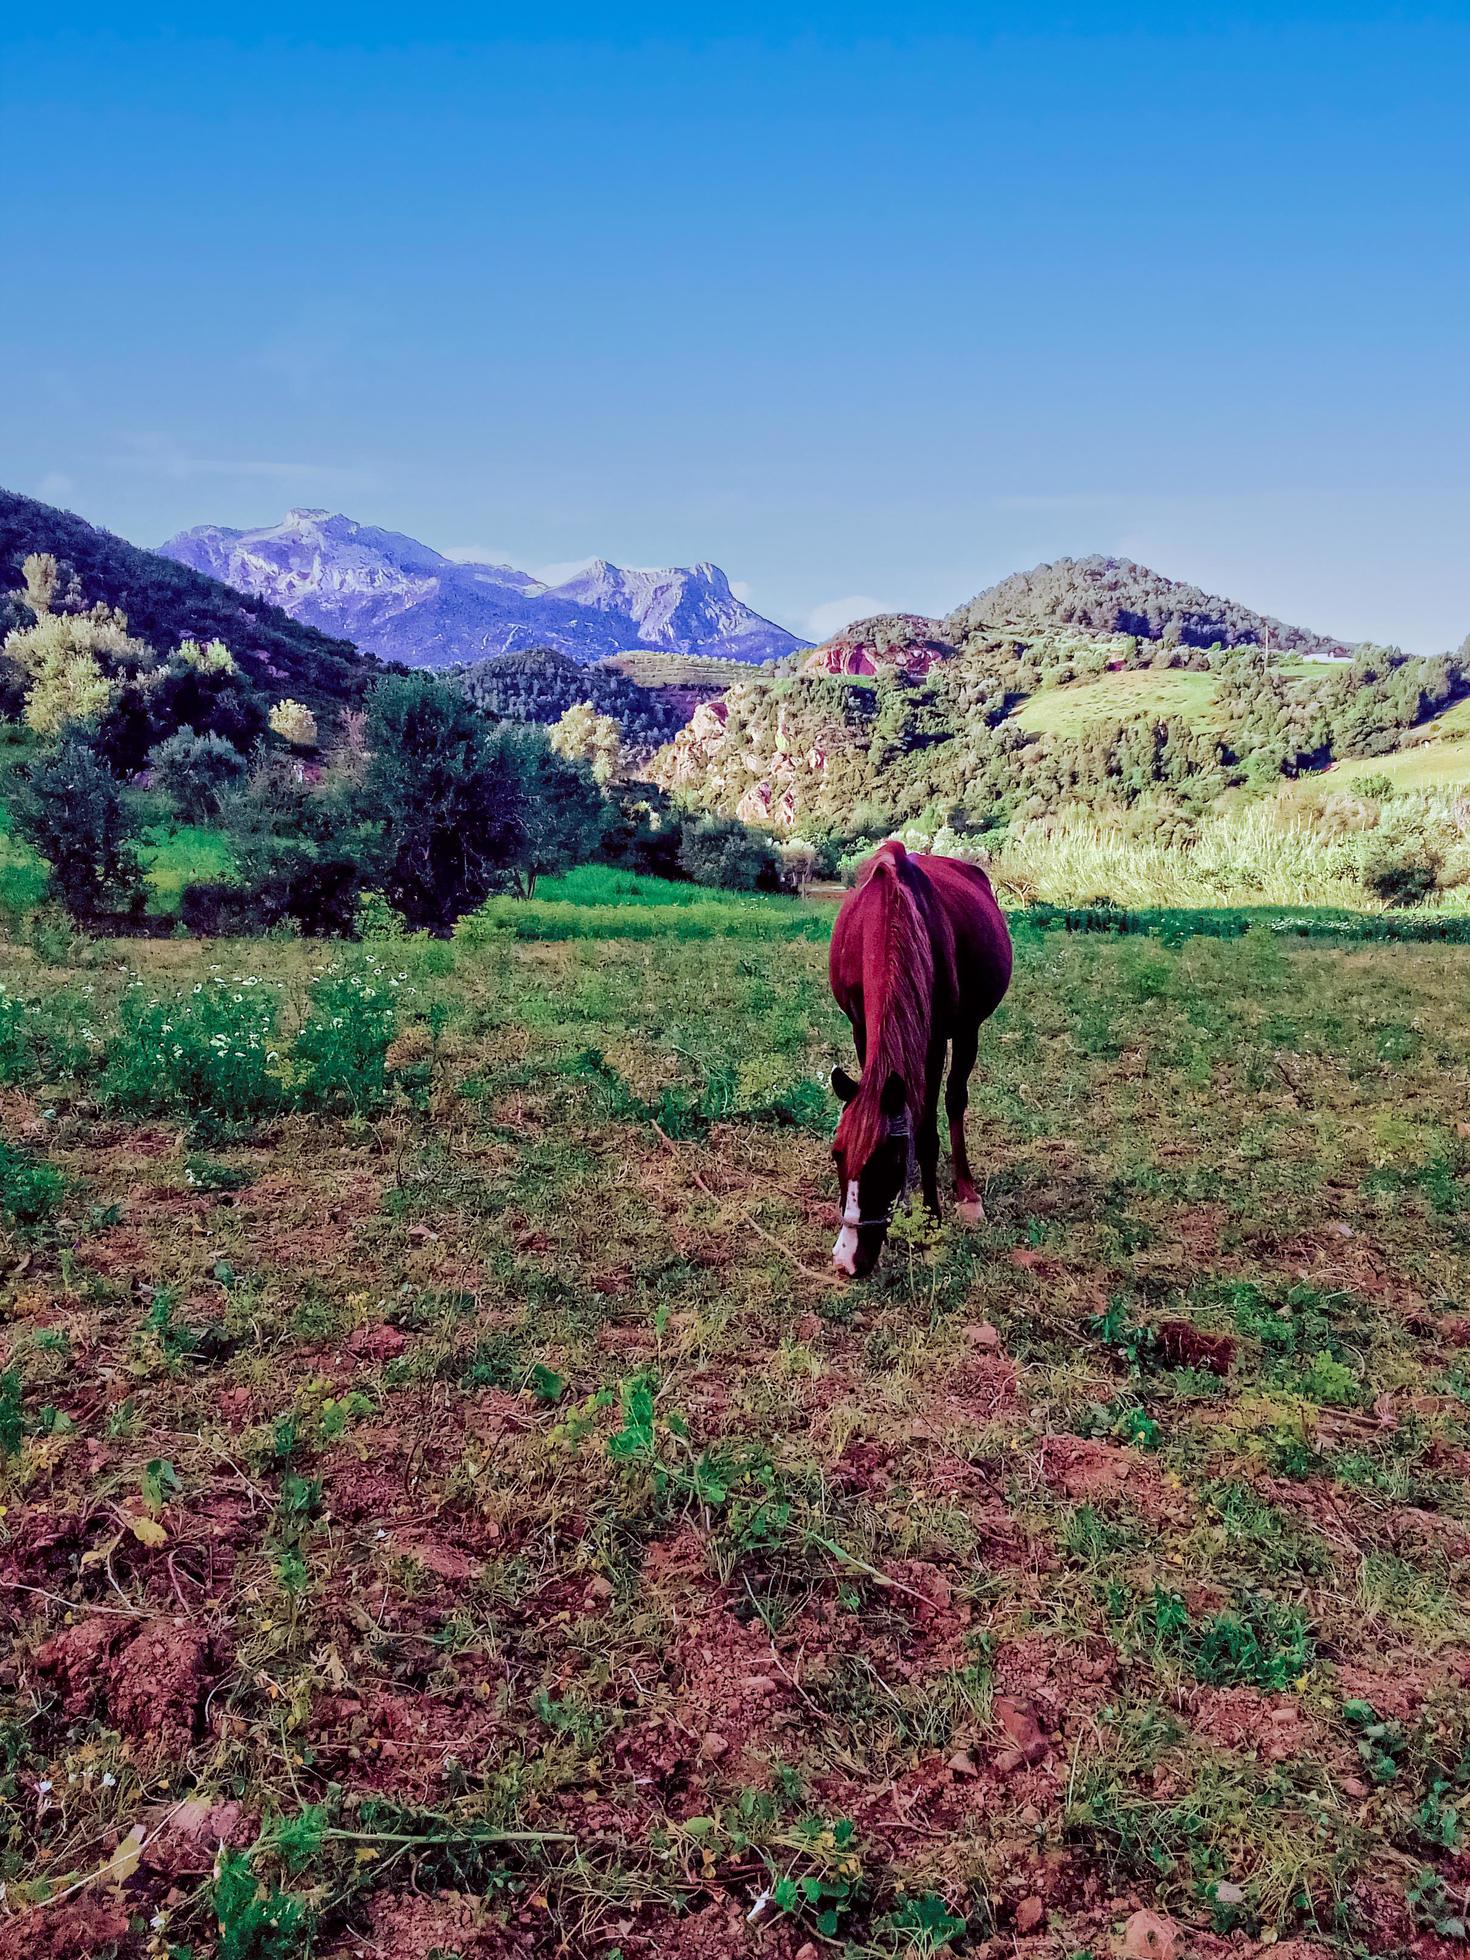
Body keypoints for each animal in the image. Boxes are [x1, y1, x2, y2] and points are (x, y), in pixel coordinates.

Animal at [831, 846, 1011, 1277]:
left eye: (889, 1162)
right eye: (836, 1155)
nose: (847, 1260)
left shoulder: (934, 1040)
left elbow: (927, 1129)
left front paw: (930, 1223)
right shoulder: (861, 1028)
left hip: (967, 1031)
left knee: (955, 1100)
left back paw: (966, 1192)